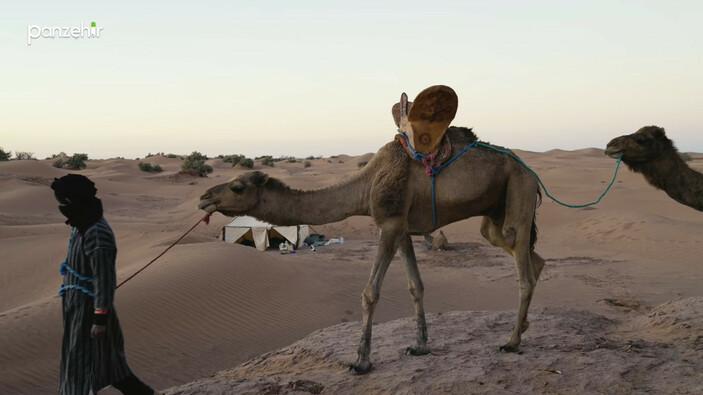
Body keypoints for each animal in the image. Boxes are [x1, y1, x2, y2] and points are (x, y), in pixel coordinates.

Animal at [197, 86, 544, 374]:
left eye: (237, 187)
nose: (205, 198)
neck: (366, 184)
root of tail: (531, 171)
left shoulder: (388, 224)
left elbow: (370, 292)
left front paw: (361, 362)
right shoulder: (402, 227)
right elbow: (415, 285)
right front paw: (420, 346)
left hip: (520, 187)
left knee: (522, 263)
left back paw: (511, 341)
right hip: (495, 214)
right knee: (529, 256)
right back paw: (525, 325)